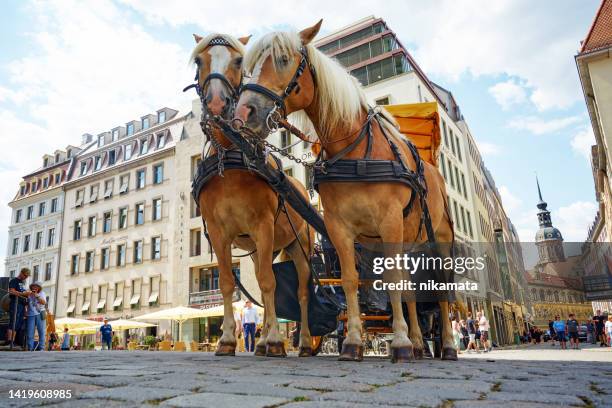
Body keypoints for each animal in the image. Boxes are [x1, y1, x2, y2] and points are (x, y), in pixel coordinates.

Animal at [190, 32, 316, 356]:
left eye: (238, 61)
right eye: (199, 61)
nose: (217, 103)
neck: (233, 154)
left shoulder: (263, 225)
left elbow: (270, 284)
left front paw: (275, 340)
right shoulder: (218, 233)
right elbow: (227, 283)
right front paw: (227, 340)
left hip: (299, 246)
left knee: (302, 292)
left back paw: (303, 342)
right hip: (263, 249)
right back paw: (261, 341)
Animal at [237, 20, 456, 362]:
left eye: (283, 59)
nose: (245, 111)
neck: (354, 148)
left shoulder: (390, 221)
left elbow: (392, 280)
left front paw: (400, 342)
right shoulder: (339, 227)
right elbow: (352, 280)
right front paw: (353, 341)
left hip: (439, 239)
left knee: (442, 292)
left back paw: (444, 345)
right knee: (409, 290)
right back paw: (419, 343)